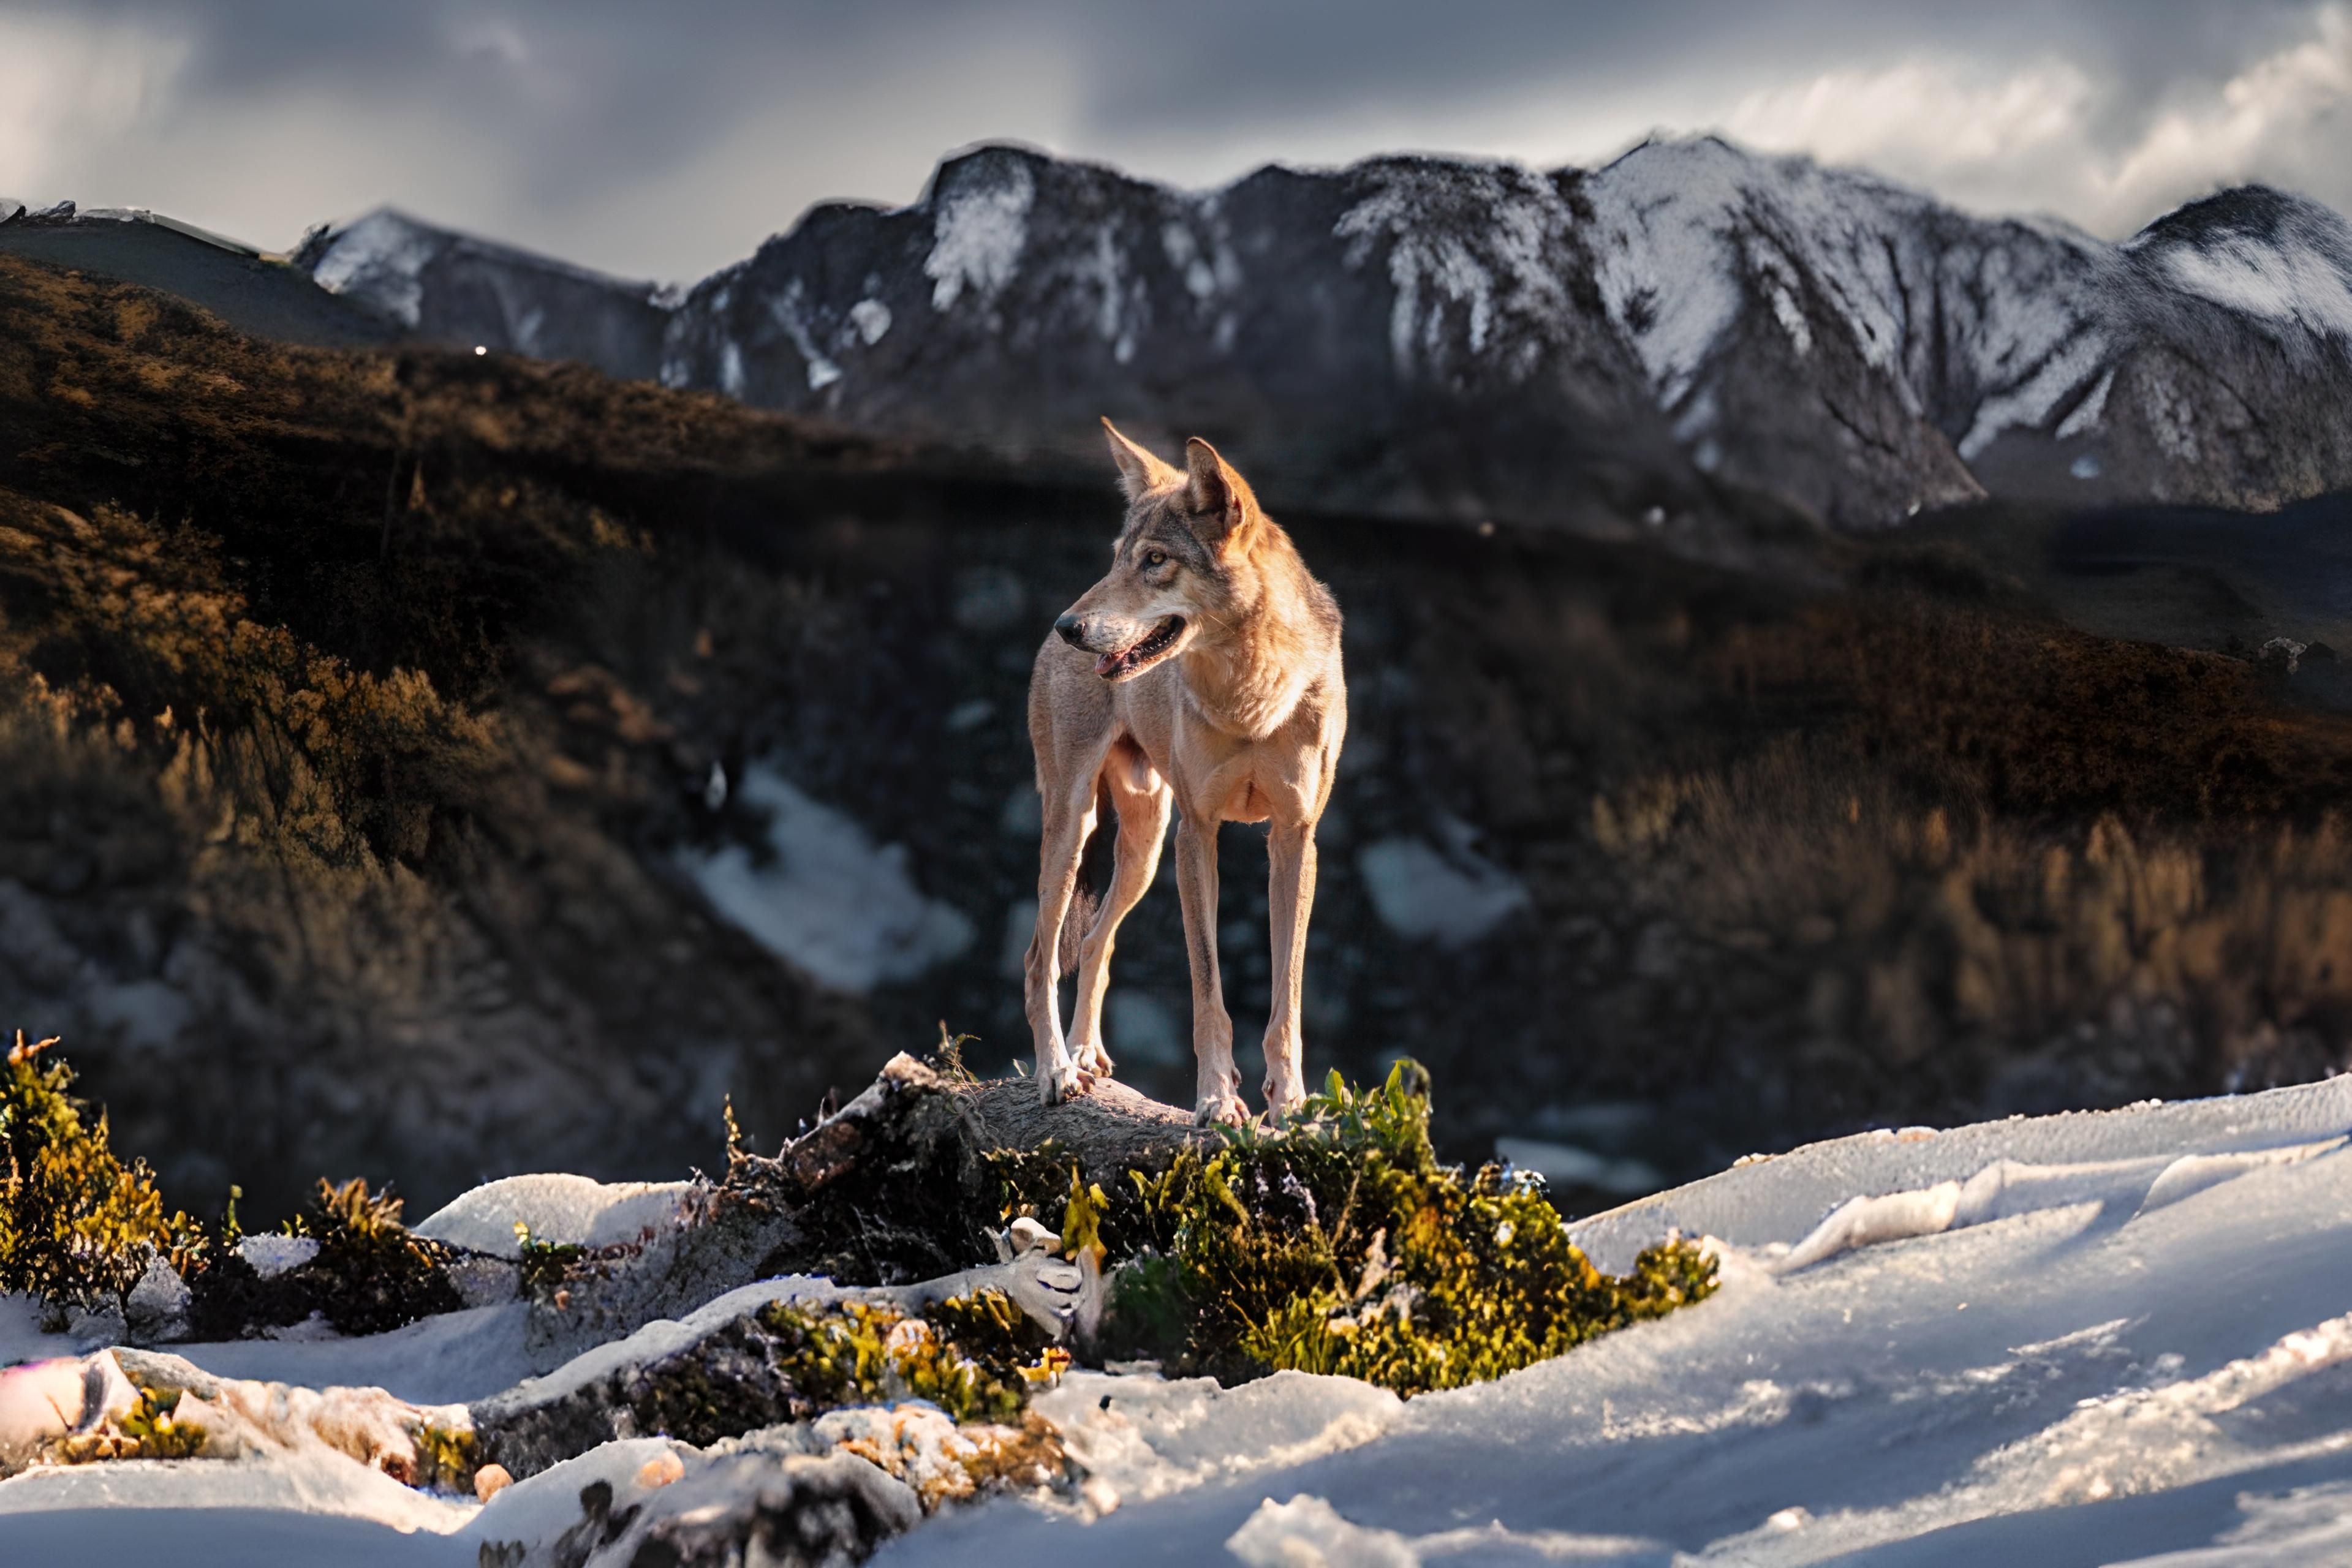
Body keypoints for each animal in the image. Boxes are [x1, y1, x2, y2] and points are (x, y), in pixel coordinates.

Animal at [1024, 420, 1345, 1124]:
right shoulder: (1198, 834)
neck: (1251, 696)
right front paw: (1216, 1101)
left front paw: (1289, 1105)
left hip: (1143, 848)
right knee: (1040, 958)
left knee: (1095, 943)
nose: (1068, 627)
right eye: (1119, 557)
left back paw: (1086, 1056)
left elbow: (1286, 999)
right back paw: (1057, 1071)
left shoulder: (1294, 838)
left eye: (1155, 561)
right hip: (1075, 828)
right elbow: (1207, 990)